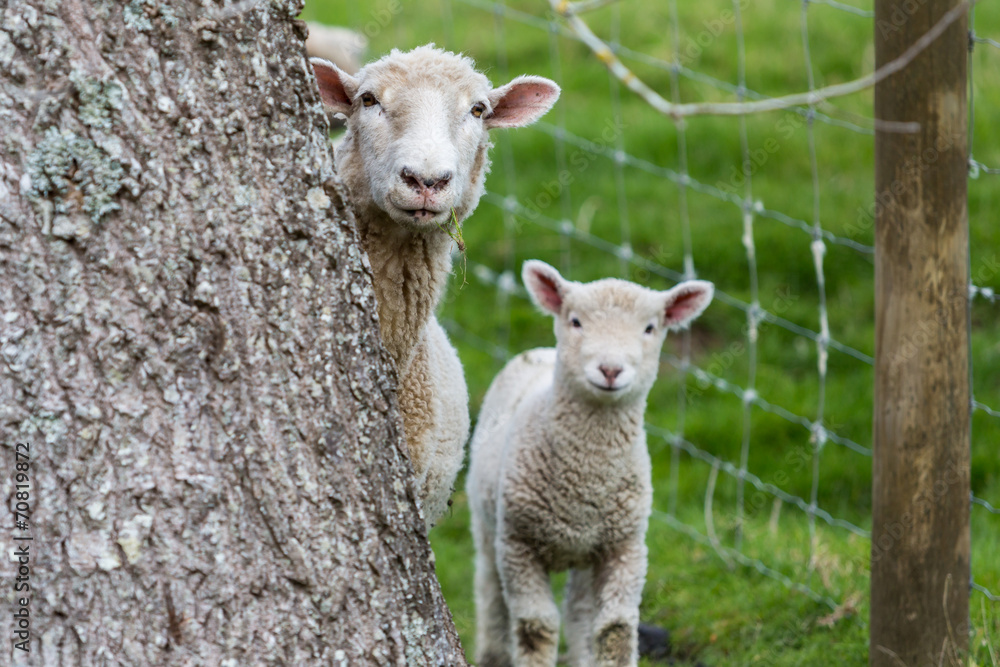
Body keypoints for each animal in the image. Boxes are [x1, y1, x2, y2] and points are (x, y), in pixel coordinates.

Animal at [467, 260, 713, 667]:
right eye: (576, 321)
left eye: (650, 328)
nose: (610, 370)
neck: (586, 478)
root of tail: (537, 352)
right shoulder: (518, 546)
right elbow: (536, 627)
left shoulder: (626, 548)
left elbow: (615, 629)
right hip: (487, 524)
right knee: (489, 592)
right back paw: (492, 654)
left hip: (587, 552)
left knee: (579, 613)